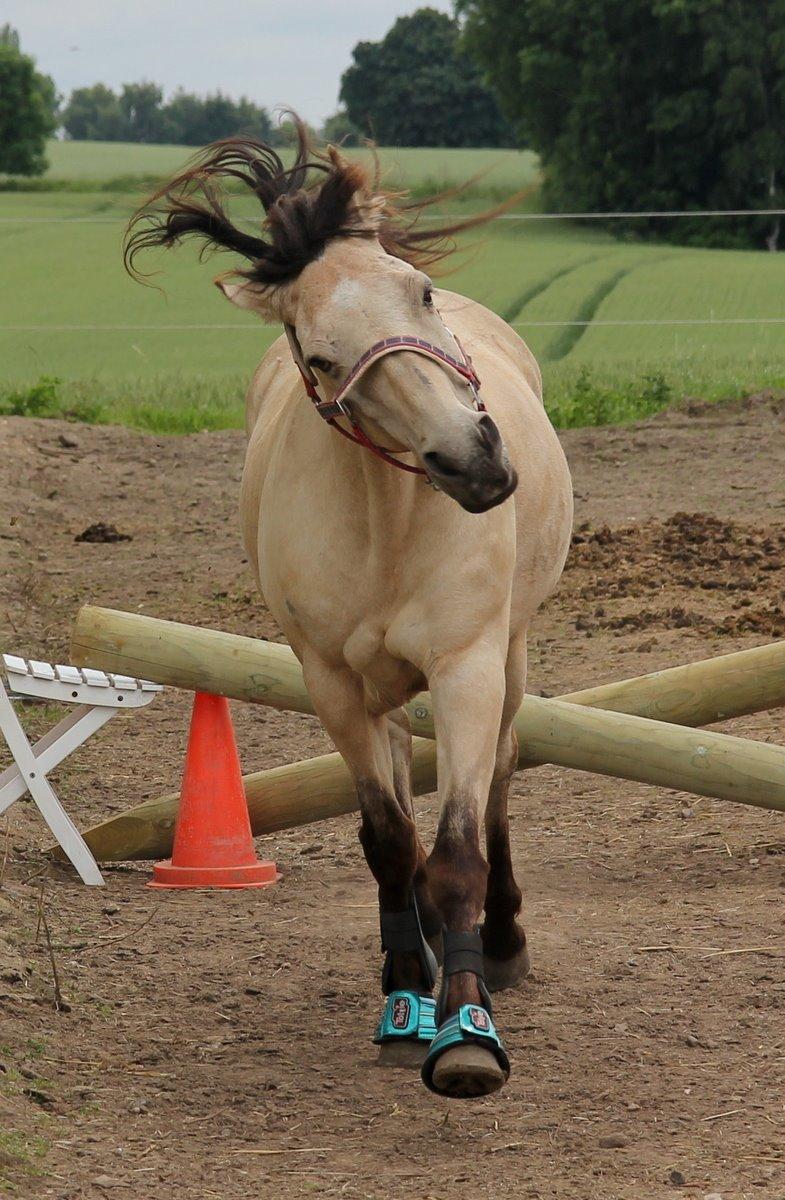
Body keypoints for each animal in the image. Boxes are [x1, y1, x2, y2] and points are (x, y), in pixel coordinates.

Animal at [126, 126, 576, 1099]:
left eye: (420, 293)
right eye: (321, 354)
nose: (472, 460)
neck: (388, 517)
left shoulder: (466, 666)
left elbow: (457, 850)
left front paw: (468, 1030)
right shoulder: (330, 682)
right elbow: (388, 840)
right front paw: (406, 994)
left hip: (511, 657)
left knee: (499, 778)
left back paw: (502, 940)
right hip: (375, 691)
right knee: (402, 788)